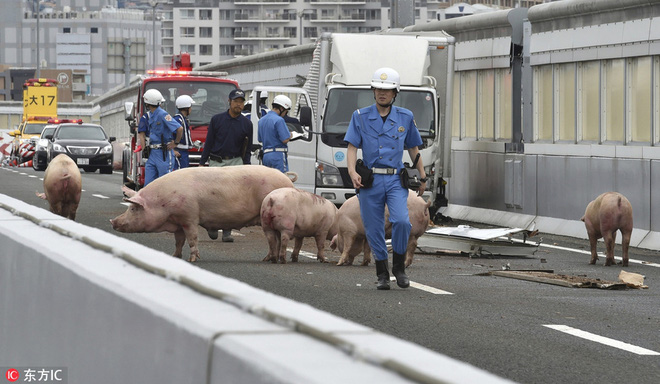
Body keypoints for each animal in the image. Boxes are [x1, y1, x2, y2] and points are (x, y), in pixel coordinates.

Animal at [110, 165, 292, 260]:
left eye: (133, 208)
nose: (113, 222)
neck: (162, 203)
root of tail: (289, 182)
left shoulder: (189, 217)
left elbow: (192, 239)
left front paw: (192, 259)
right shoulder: (178, 223)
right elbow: (178, 241)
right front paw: (174, 256)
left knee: (273, 238)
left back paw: (268, 259)